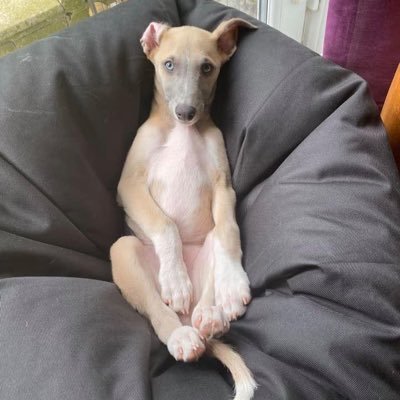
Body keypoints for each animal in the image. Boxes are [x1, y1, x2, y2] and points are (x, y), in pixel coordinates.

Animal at [111, 18, 258, 400]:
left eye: (207, 68)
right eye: (168, 64)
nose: (186, 113)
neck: (182, 133)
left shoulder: (223, 187)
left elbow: (230, 232)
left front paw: (234, 284)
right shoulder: (129, 185)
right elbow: (165, 224)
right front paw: (175, 280)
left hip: (207, 247)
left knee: (209, 281)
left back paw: (211, 316)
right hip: (124, 251)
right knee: (160, 314)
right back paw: (180, 330)